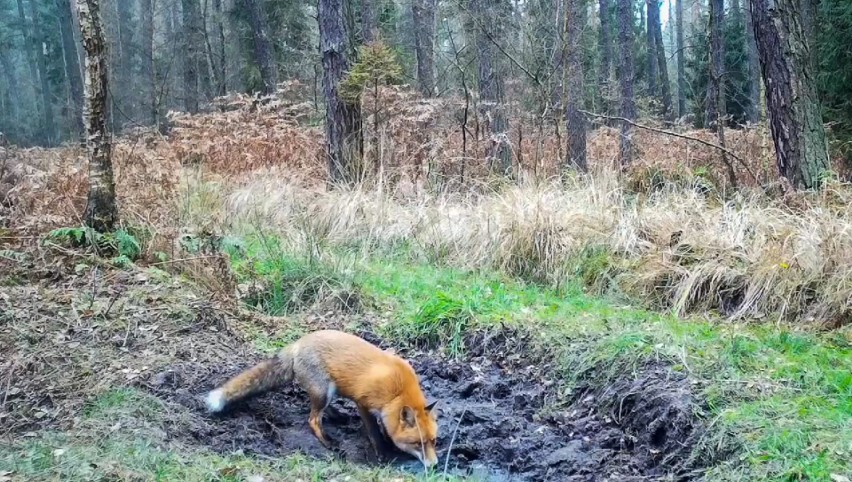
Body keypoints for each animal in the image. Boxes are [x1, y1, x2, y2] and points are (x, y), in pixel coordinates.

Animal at [203, 330, 436, 468]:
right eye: (418, 443)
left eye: (433, 441)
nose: (434, 465)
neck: (398, 392)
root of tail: (298, 343)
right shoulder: (363, 402)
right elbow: (373, 432)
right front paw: (382, 452)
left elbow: (385, 427)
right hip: (324, 391)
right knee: (313, 420)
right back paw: (328, 442)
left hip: (327, 392)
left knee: (318, 411)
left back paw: (338, 417)